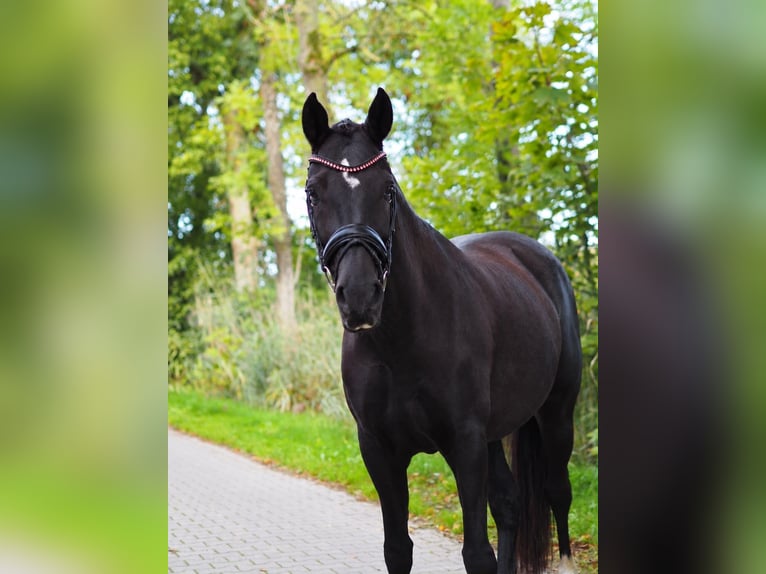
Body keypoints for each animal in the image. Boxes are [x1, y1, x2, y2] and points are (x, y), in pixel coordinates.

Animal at [301, 87, 582, 574]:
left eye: (387, 189)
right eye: (313, 193)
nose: (360, 296)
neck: (401, 344)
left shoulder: (465, 444)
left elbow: (476, 553)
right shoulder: (379, 449)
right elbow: (398, 549)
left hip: (557, 414)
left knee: (556, 494)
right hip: (496, 434)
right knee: (510, 505)